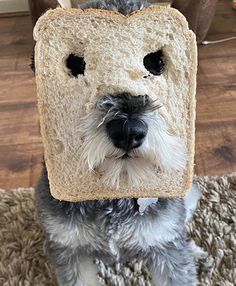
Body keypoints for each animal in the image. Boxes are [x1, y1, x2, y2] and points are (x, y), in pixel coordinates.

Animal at [34, 0, 201, 286]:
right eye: (76, 65)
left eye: (155, 63)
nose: (127, 132)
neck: (114, 196)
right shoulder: (69, 250)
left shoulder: (167, 248)